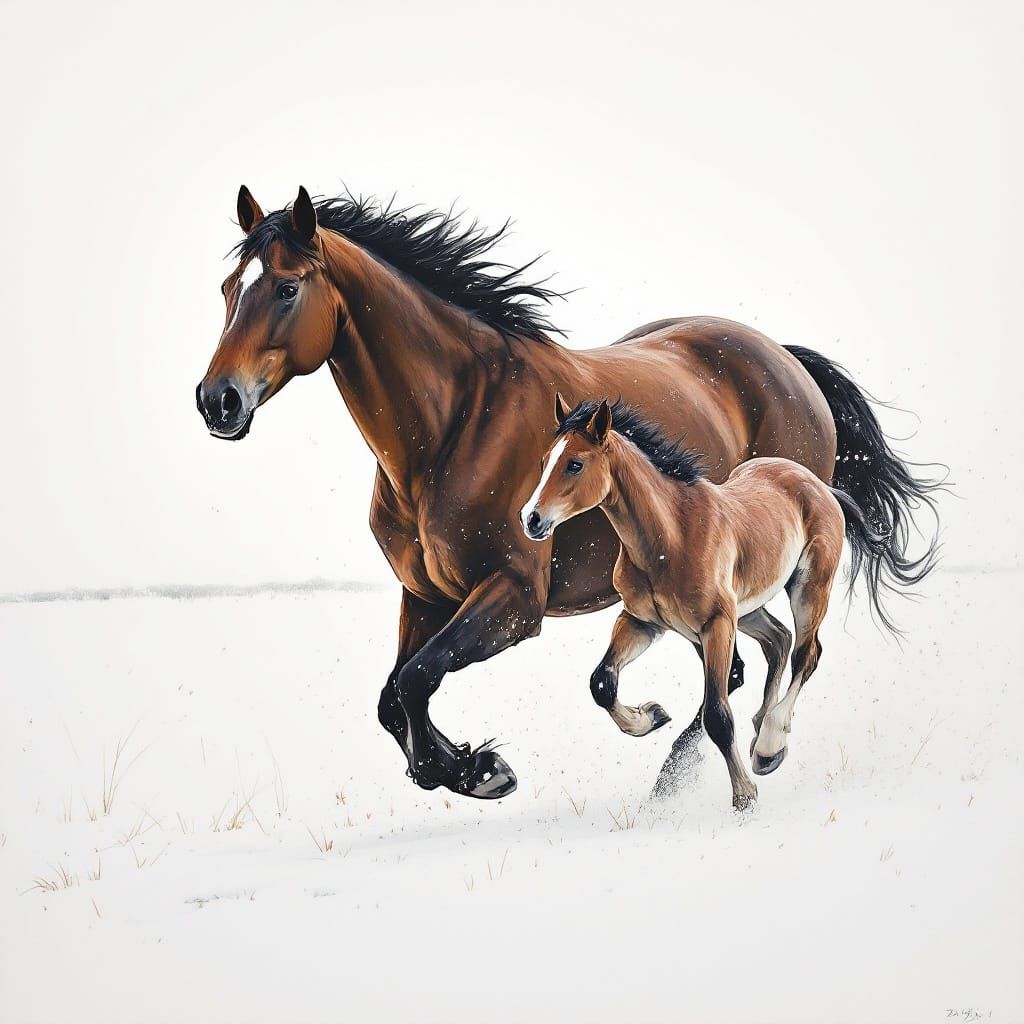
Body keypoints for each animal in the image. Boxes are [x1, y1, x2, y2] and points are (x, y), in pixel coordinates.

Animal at [521, 396, 884, 808]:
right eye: (544, 460)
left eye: (575, 464)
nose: (531, 519)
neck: (671, 536)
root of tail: (820, 486)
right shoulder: (641, 622)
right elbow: (602, 682)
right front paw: (651, 716)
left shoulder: (716, 625)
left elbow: (717, 714)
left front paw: (744, 796)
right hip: (746, 608)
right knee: (778, 639)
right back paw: (760, 733)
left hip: (807, 588)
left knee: (805, 653)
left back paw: (769, 746)